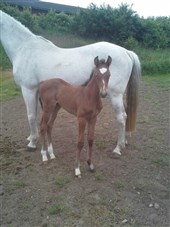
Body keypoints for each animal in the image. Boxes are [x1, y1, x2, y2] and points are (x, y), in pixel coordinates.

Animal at [0, 11, 141, 156]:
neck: (24, 48)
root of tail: (126, 52)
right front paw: (31, 138)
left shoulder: (28, 89)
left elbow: (31, 116)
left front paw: (32, 142)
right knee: (126, 115)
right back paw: (124, 141)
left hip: (115, 95)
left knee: (121, 118)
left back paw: (118, 148)